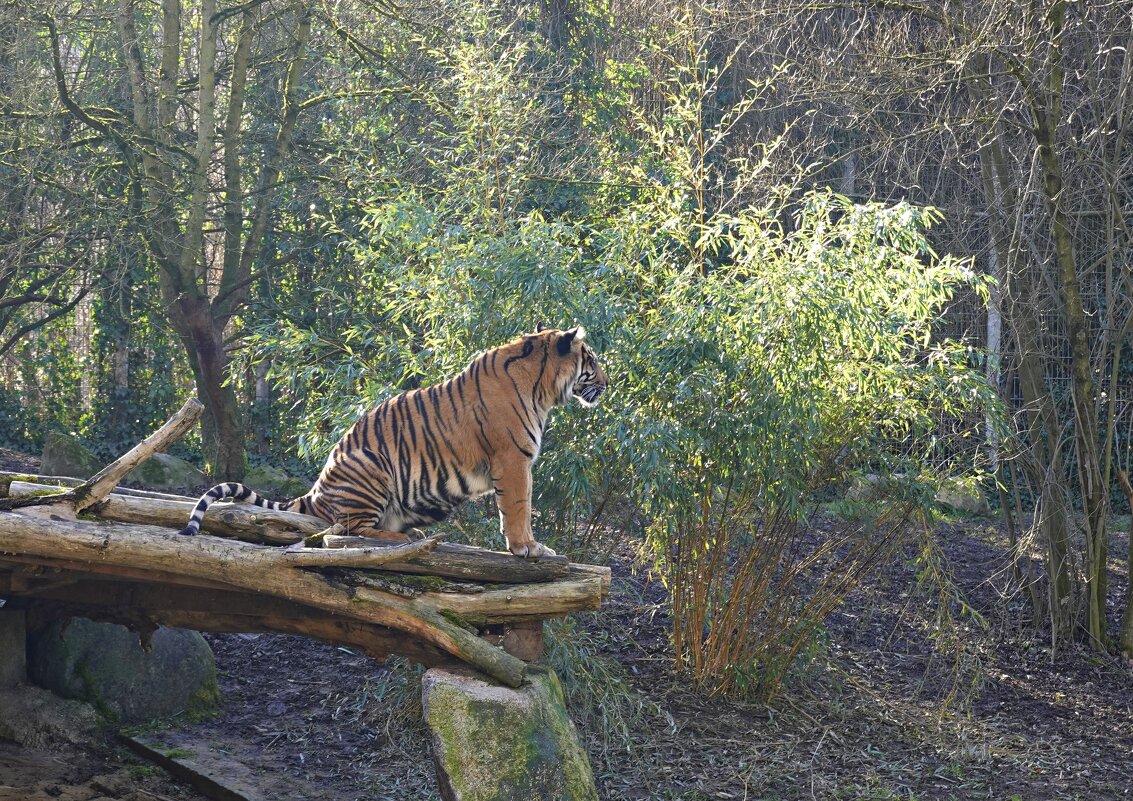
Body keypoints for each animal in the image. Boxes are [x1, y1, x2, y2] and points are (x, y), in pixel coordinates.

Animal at [174, 326, 611, 557]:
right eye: (591, 361)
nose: (608, 384)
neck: (543, 389)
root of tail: (315, 491)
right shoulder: (513, 460)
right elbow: (519, 509)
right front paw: (529, 548)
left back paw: (412, 534)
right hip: (371, 466)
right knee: (345, 531)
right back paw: (403, 537)